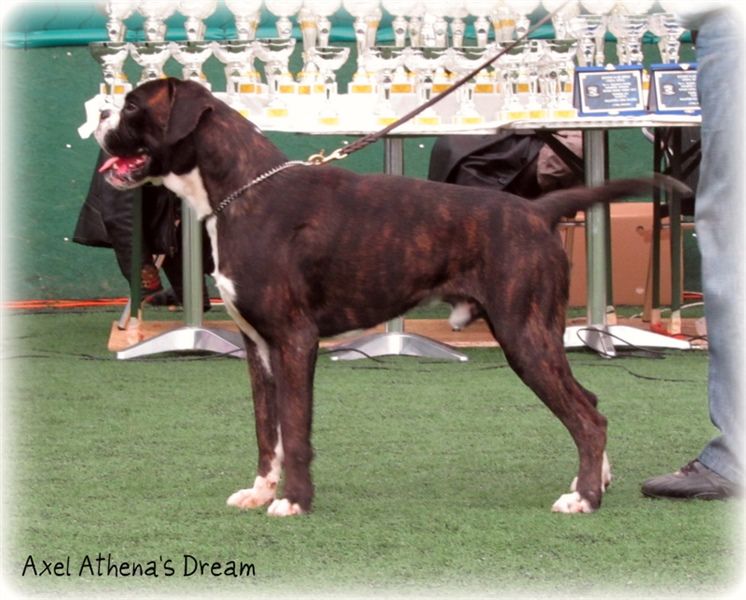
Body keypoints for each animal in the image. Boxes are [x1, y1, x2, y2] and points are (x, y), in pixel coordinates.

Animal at [96, 78, 648, 516]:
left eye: (132, 106)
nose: (100, 111)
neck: (241, 191)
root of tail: (537, 210)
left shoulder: (295, 340)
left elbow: (294, 428)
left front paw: (294, 501)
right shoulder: (259, 348)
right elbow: (267, 432)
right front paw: (261, 492)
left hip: (525, 336)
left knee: (588, 418)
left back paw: (585, 499)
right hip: (536, 336)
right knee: (588, 403)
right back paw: (594, 480)